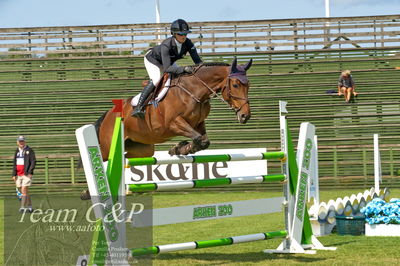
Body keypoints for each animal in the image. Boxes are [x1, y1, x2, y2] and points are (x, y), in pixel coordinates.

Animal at [95, 58, 252, 161]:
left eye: (248, 85)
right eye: (236, 85)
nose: (246, 116)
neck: (193, 91)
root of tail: (108, 115)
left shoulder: (198, 123)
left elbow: (203, 140)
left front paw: (179, 148)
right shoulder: (173, 123)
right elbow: (198, 138)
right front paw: (179, 147)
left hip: (142, 148)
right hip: (107, 148)